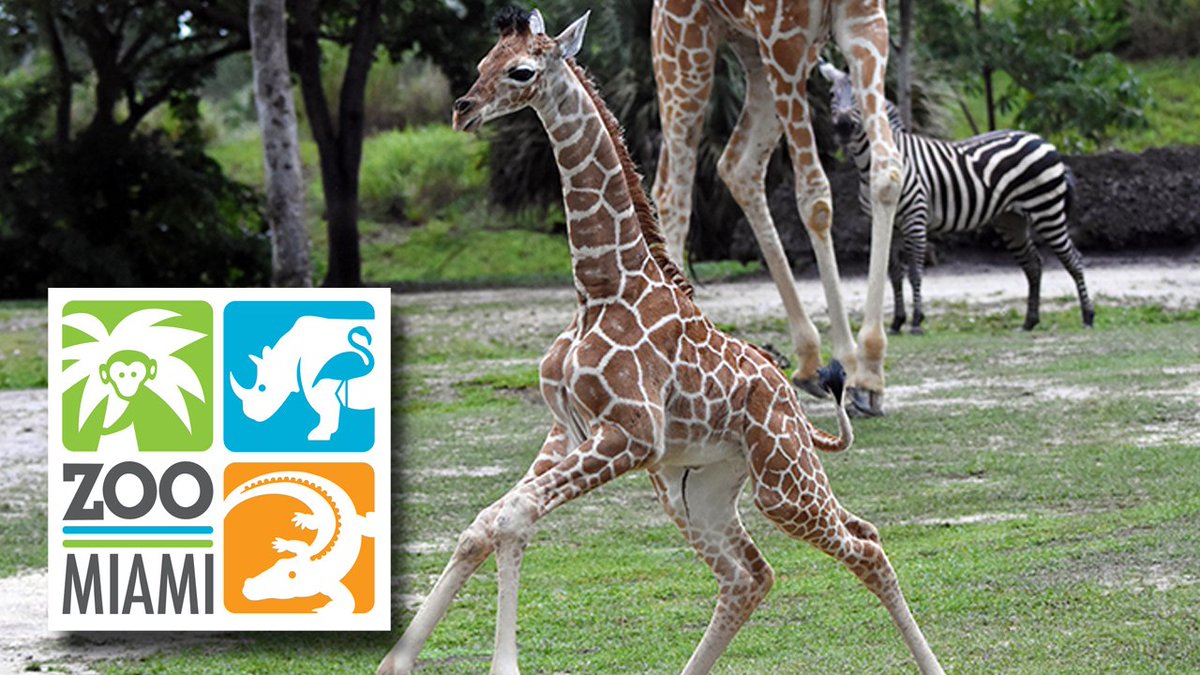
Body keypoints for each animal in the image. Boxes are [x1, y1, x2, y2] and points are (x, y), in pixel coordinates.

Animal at [652, 0, 903, 416]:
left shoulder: (864, 21)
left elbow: (888, 174)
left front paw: (869, 373)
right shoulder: (781, 37)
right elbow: (815, 198)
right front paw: (848, 365)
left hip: (754, 51)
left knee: (737, 166)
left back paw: (808, 361)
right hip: (684, 48)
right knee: (673, 189)